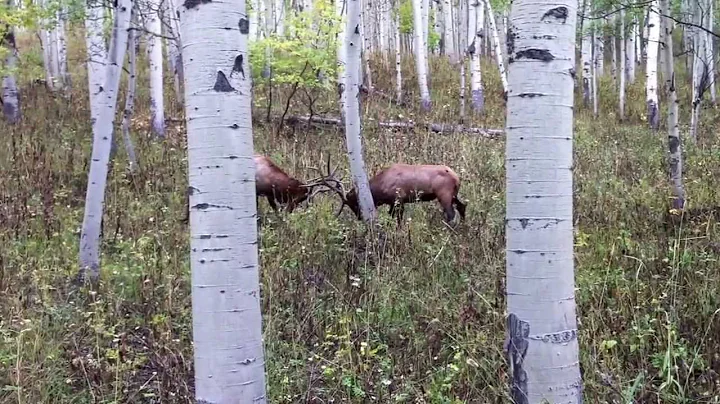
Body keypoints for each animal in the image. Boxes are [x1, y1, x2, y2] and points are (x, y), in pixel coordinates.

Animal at [320, 160, 466, 224]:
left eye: (354, 203)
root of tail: (457, 178)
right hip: (453, 194)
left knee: (451, 214)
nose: (359, 217)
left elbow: (398, 220)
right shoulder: (393, 202)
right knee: (462, 206)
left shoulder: (399, 199)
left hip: (444, 195)